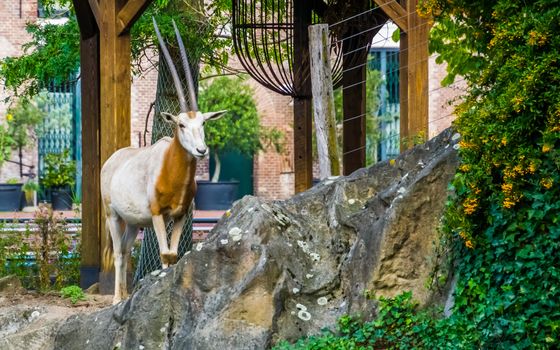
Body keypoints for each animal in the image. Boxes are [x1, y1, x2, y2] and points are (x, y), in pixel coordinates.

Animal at [100, 18, 225, 304]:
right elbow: (164, 253)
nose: (201, 150)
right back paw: (116, 299)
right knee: (119, 253)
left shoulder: (179, 215)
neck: (171, 168)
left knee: (126, 249)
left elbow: (173, 254)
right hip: (112, 214)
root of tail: (112, 160)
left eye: (203, 123)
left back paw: (126, 295)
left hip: (133, 222)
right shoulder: (157, 213)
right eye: (181, 124)